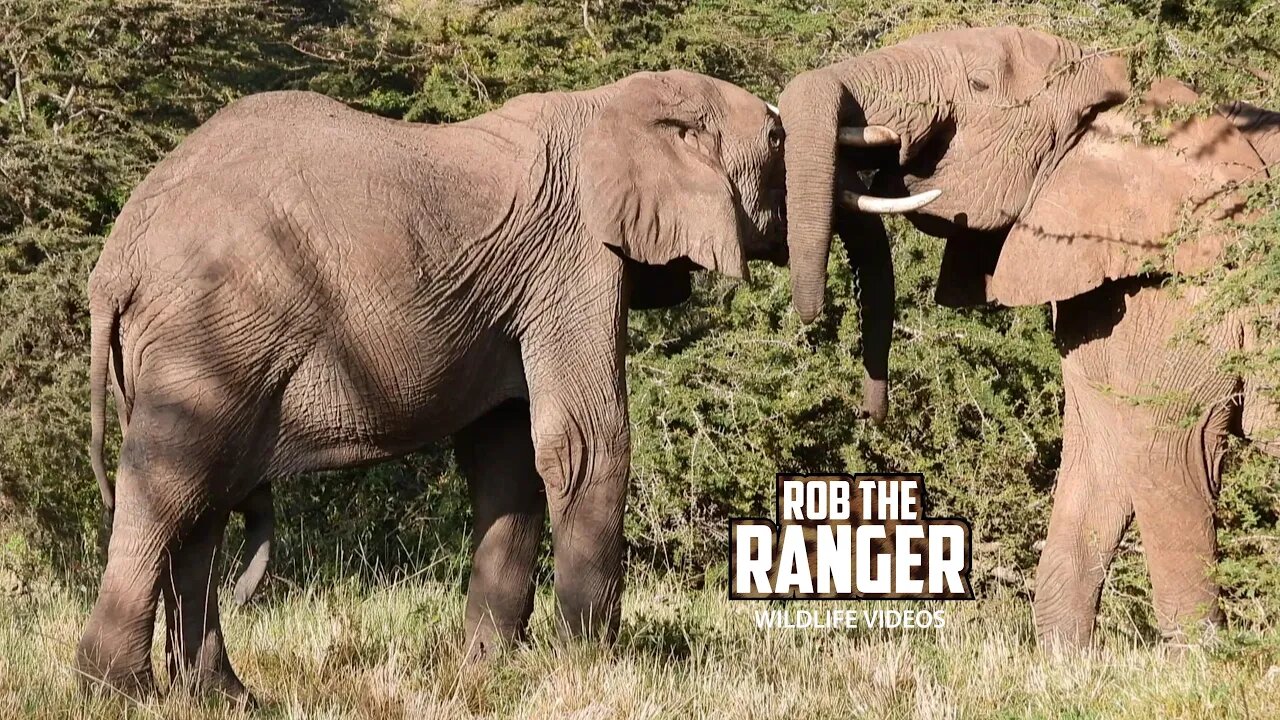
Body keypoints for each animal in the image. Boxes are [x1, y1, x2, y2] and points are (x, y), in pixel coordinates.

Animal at [80, 70, 788, 696]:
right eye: (779, 140)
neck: (613, 102)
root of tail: (116, 262)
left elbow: (507, 457)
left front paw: (489, 669)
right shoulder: (575, 258)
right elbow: (584, 442)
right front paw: (594, 667)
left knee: (202, 503)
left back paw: (225, 698)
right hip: (211, 329)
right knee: (172, 486)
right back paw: (119, 692)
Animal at [773, 26, 1280, 645]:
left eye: (980, 84)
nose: (871, 412)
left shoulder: (1190, 291)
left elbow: (1168, 457)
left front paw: (1200, 664)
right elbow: (1097, 455)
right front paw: (1066, 661)